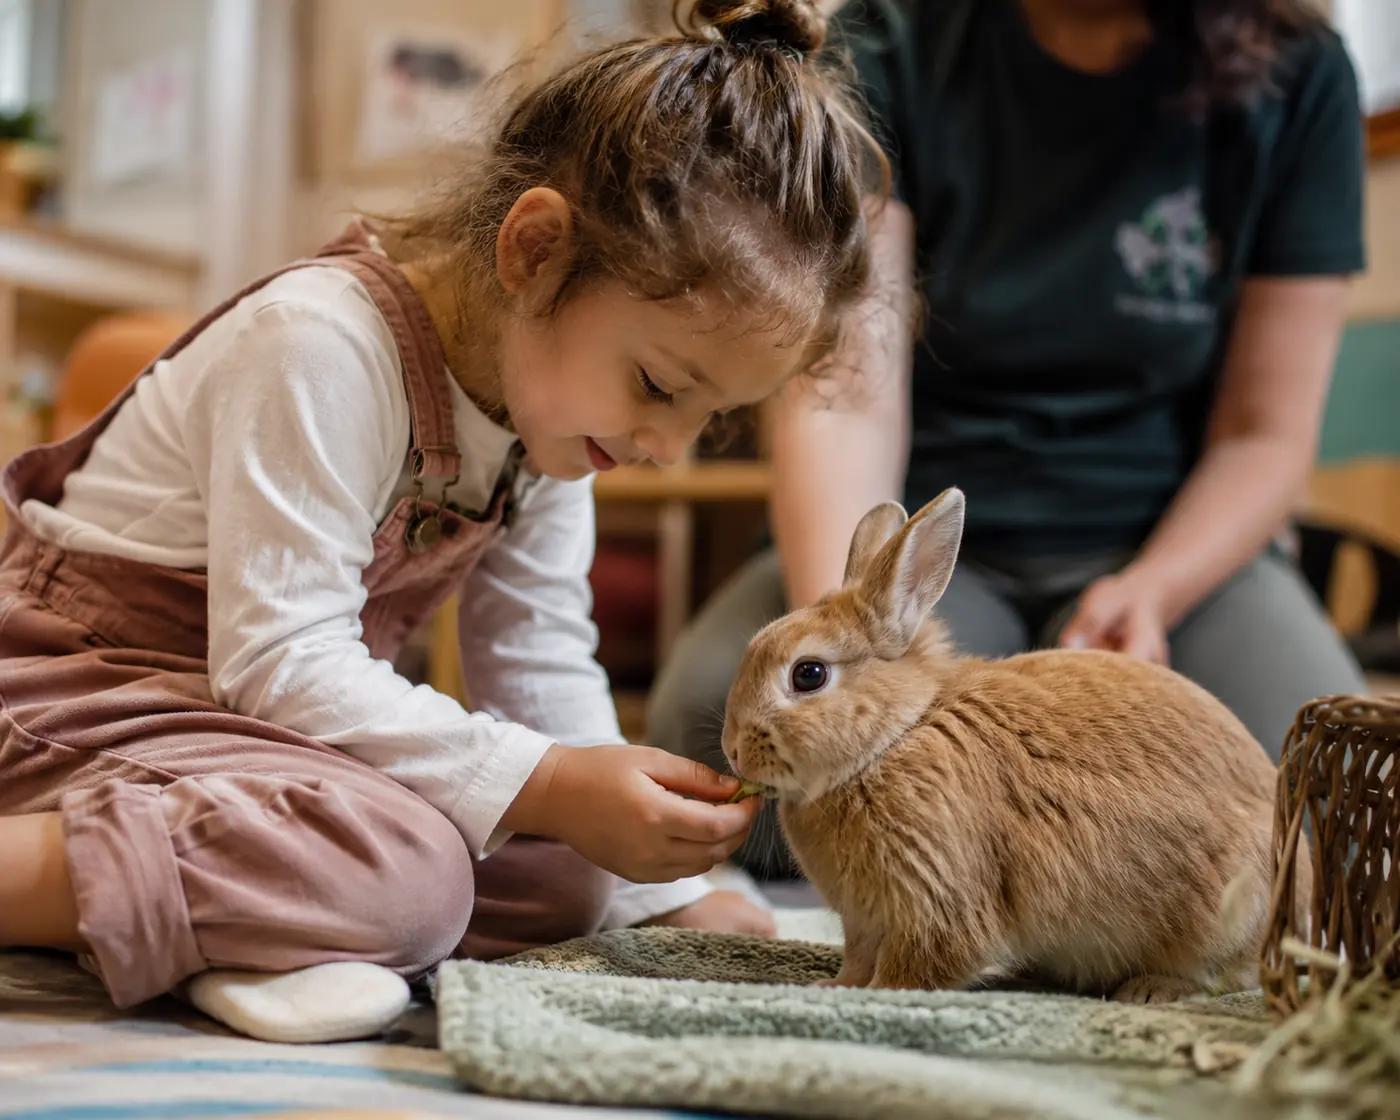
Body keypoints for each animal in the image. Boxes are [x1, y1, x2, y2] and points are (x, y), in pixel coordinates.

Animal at [721, 488, 1310, 1003]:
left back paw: (1149, 990)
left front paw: (879, 995)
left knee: (1229, 974)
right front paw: (834, 986)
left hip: (1231, 908)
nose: (732, 750)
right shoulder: (863, 920)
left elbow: (919, 963)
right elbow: (859, 958)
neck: (894, 737)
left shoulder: (936, 897)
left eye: (809, 674)